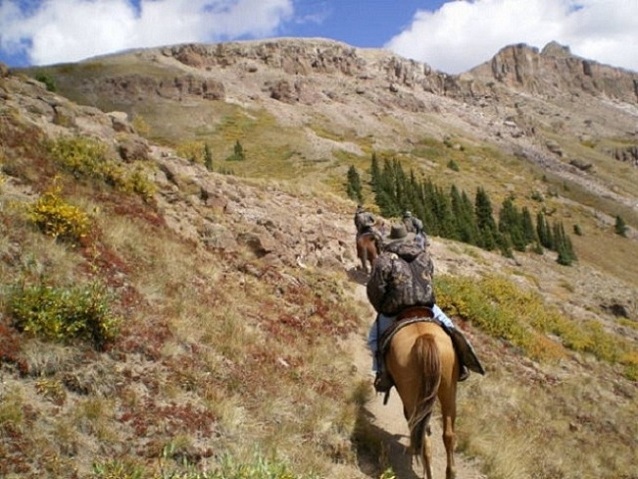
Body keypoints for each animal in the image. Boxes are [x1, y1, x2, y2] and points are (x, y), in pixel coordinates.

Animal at [384, 316, 460, 479]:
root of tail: (425, 338)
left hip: (411, 397)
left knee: (421, 433)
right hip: (449, 391)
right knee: (448, 435)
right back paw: (450, 472)